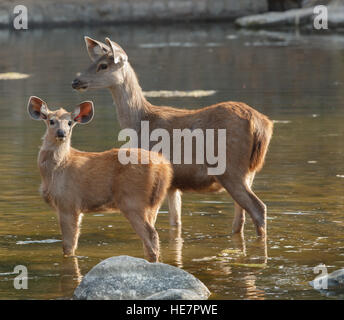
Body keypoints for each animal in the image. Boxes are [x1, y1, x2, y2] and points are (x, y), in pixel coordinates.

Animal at [27, 96, 172, 262]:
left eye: (70, 122)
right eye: (51, 120)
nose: (61, 132)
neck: (55, 170)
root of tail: (163, 167)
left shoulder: (68, 202)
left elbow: (68, 246)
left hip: (132, 199)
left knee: (151, 235)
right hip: (153, 203)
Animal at [72, 37, 274, 238]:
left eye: (103, 65)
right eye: (93, 62)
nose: (75, 81)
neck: (140, 122)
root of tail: (262, 124)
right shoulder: (173, 183)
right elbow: (175, 223)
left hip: (231, 169)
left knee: (258, 208)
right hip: (249, 171)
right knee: (241, 217)